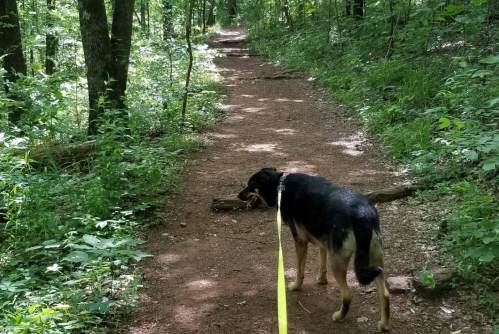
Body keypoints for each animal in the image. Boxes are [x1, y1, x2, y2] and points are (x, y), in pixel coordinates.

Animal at [238, 168, 390, 330]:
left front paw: (296, 286)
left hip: (337, 263)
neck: (280, 185)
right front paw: (322, 280)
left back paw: (339, 316)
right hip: (375, 260)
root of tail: (362, 213)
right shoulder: (323, 244)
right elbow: (322, 265)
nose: (238, 195)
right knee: (385, 294)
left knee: (347, 295)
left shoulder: (300, 242)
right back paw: (384, 325)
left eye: (249, 186)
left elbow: (299, 271)